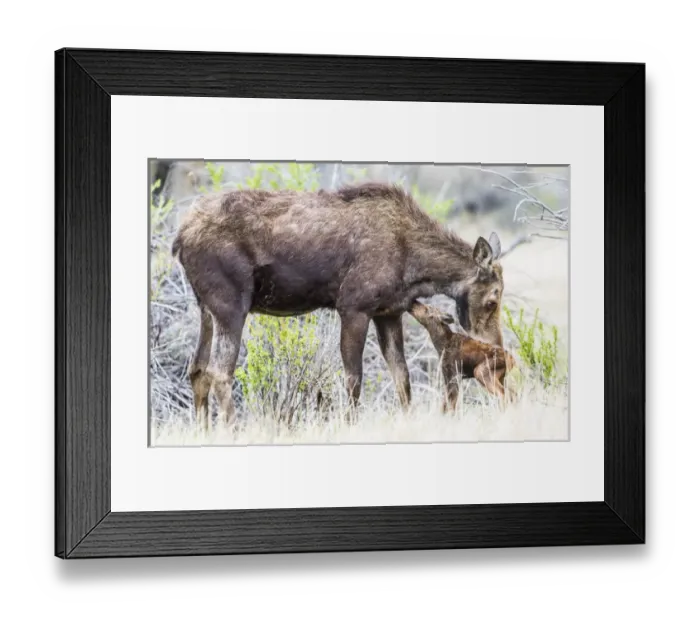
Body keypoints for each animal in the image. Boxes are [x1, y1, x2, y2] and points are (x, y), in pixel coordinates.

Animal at [171, 181, 505, 430]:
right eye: (493, 299)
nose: (497, 347)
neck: (416, 268)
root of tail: (179, 238)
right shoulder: (353, 307)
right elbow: (354, 379)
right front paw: (350, 424)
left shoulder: (388, 312)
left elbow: (402, 376)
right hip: (231, 305)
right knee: (219, 372)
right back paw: (235, 429)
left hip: (206, 308)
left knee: (197, 369)